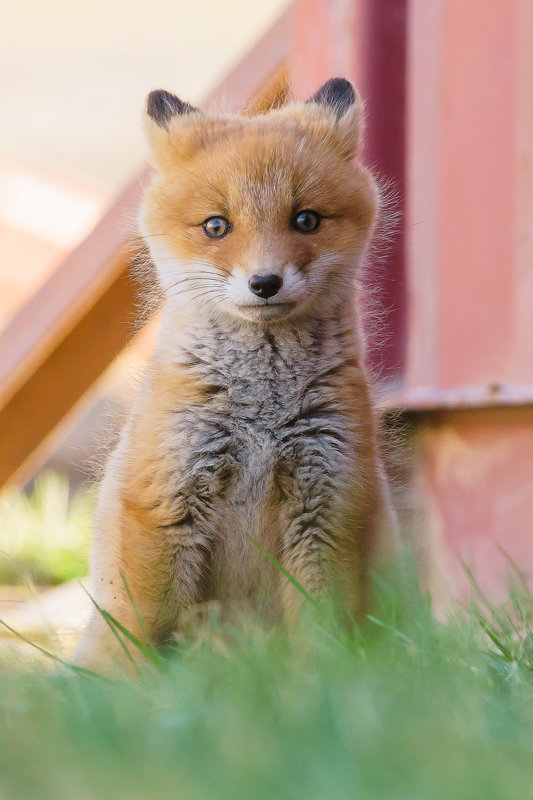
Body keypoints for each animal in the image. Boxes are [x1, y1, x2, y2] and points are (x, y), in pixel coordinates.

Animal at [77, 79, 396, 668]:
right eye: (216, 226)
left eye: (305, 219)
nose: (265, 282)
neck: (260, 416)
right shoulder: (165, 501)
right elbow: (145, 634)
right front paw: (147, 690)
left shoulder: (327, 505)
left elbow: (320, 632)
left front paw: (319, 682)